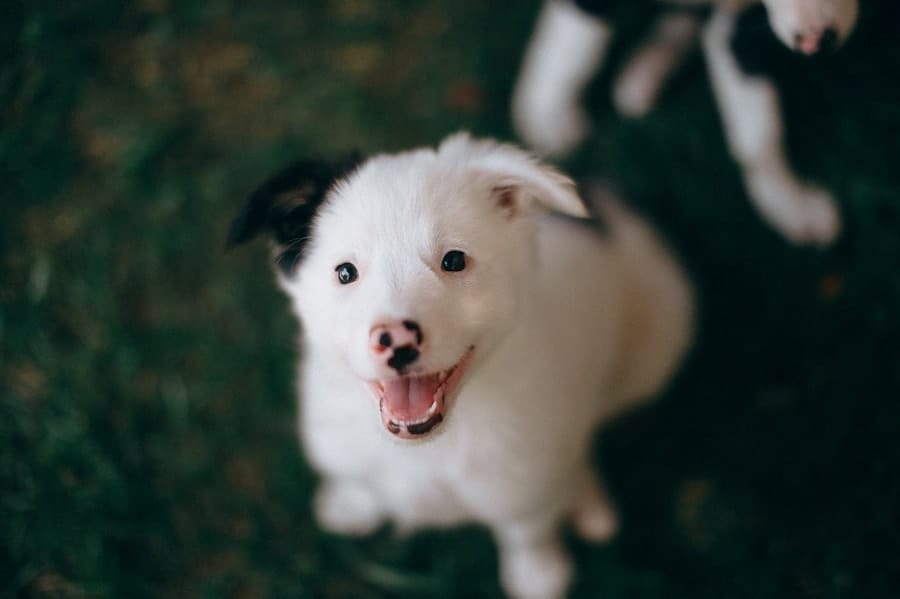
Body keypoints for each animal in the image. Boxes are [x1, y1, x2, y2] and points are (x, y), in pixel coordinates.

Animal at [229, 135, 692, 599]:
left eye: (454, 260)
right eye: (345, 272)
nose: (396, 339)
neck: (428, 448)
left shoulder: (521, 483)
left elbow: (527, 531)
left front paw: (538, 574)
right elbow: (359, 479)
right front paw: (351, 504)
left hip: (655, 349)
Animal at [512, 0, 856, 245]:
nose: (816, 41)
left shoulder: (744, 23)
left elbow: (759, 130)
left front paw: (789, 205)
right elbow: (576, 49)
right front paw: (547, 124)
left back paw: (647, 69)